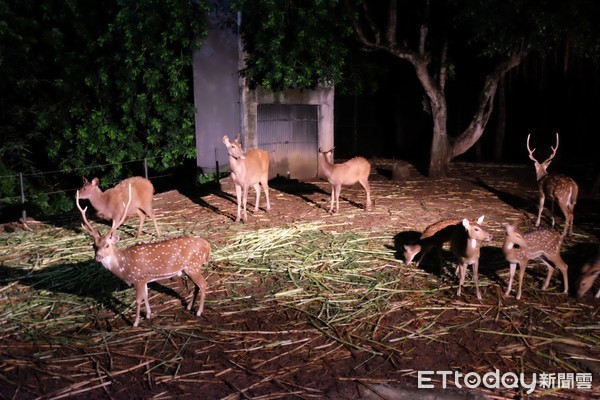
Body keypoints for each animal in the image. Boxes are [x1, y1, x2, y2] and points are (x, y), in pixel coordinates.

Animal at [76, 184, 210, 328]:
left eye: (107, 245)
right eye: (93, 246)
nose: (98, 257)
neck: (124, 267)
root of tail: (207, 246)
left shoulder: (138, 278)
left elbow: (138, 300)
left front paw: (135, 322)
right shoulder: (145, 279)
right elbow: (146, 296)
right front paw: (149, 315)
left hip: (193, 266)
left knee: (203, 284)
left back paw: (198, 312)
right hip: (190, 269)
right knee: (197, 286)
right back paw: (189, 307)